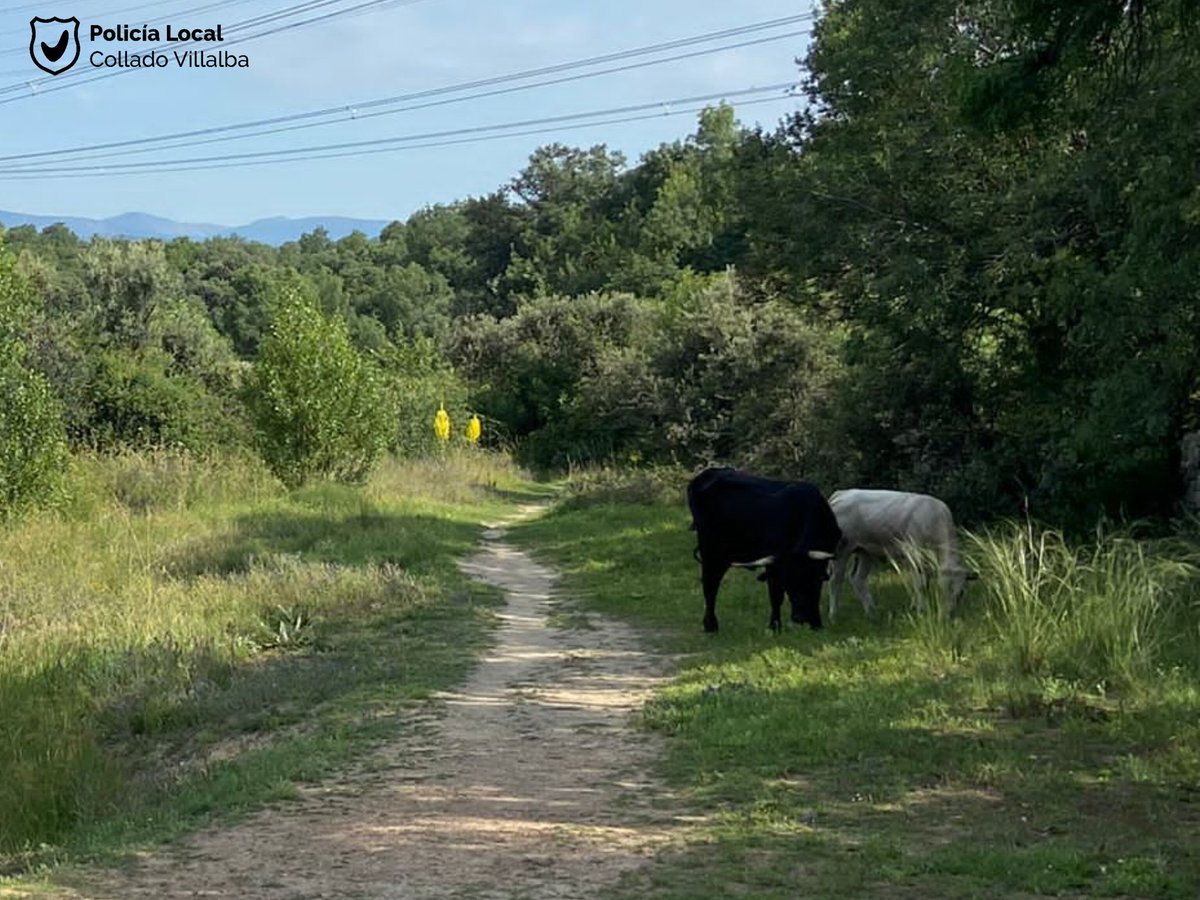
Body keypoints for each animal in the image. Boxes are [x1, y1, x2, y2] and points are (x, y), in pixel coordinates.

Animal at [687, 467, 842, 634]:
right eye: (787, 584)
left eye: (808, 579)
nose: (798, 618)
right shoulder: (774, 566)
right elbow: (776, 596)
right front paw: (774, 626)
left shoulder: (820, 563)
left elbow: (816, 591)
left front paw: (816, 623)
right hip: (711, 553)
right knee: (710, 586)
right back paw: (711, 625)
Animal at [827, 489, 976, 621]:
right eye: (942, 590)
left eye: (961, 593)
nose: (948, 614)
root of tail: (842, 494)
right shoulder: (914, 552)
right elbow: (920, 584)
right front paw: (921, 609)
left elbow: (921, 583)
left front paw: (915, 606)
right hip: (842, 550)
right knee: (836, 580)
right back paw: (833, 616)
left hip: (865, 551)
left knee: (857, 579)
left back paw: (871, 613)